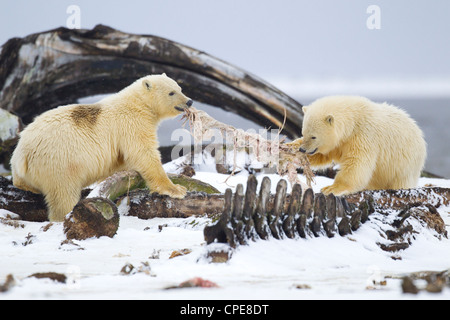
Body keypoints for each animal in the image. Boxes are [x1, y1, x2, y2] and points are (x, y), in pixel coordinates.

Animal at [11, 74, 192, 221]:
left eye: (180, 88)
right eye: (171, 92)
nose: (189, 101)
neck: (138, 104)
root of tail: (22, 154)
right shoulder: (132, 124)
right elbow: (143, 154)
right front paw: (176, 189)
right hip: (60, 161)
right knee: (64, 193)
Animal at [288, 95, 426, 195]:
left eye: (313, 136)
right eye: (303, 133)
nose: (303, 149)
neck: (354, 120)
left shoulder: (364, 136)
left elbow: (356, 163)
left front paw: (331, 188)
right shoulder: (341, 142)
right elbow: (324, 155)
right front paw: (289, 149)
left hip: (404, 166)